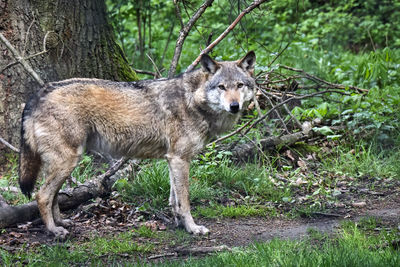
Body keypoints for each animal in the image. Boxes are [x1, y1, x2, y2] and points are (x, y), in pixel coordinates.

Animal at [18, 51, 256, 238]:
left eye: (239, 85)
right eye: (222, 87)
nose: (234, 106)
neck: (193, 100)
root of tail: (40, 91)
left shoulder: (173, 160)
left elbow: (174, 200)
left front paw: (179, 224)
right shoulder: (180, 159)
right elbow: (185, 201)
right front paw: (193, 228)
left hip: (65, 164)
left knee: (54, 195)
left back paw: (61, 222)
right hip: (68, 161)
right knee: (42, 195)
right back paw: (54, 231)